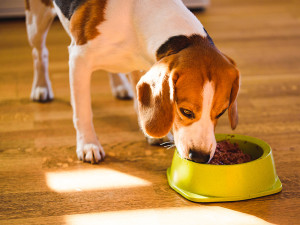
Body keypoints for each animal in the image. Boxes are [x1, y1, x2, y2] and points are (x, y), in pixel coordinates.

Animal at [24, 0, 240, 165]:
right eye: (186, 111)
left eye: (221, 113)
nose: (200, 157)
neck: (137, 19)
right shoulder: (79, 59)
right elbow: (83, 112)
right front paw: (88, 144)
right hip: (36, 21)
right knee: (39, 53)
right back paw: (41, 87)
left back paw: (119, 86)